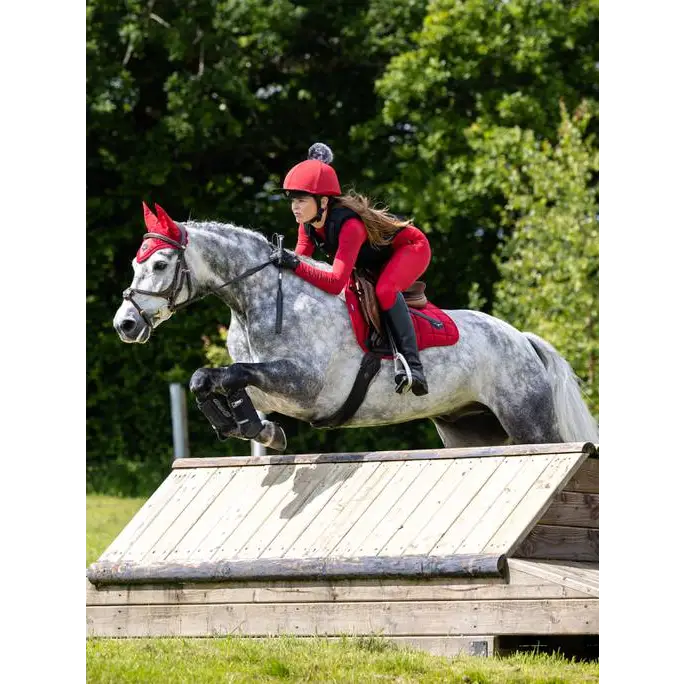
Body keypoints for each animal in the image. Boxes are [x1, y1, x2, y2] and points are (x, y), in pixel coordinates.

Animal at [112, 206, 600, 452]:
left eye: (160, 264)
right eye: (137, 263)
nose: (125, 324)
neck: (254, 302)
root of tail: (522, 340)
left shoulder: (305, 385)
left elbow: (230, 375)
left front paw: (251, 426)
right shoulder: (272, 388)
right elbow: (207, 379)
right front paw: (257, 429)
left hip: (530, 421)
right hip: (469, 429)